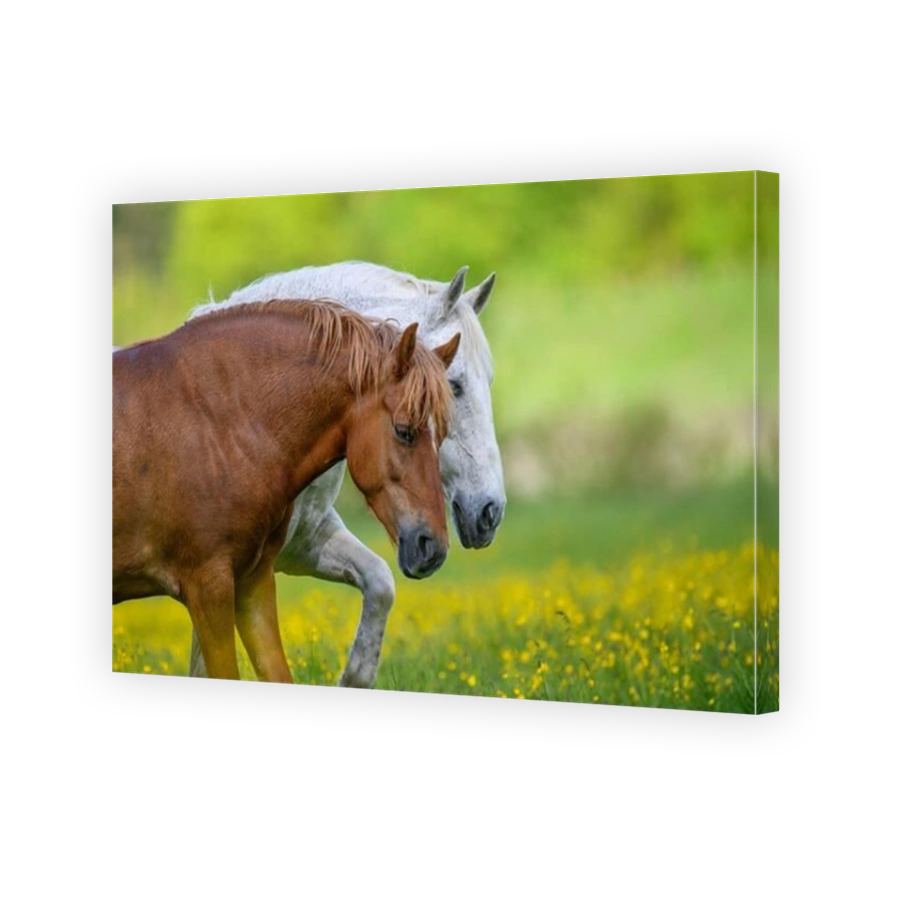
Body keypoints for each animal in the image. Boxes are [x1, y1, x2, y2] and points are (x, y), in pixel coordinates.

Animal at [112, 300, 460, 682]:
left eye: (443, 435)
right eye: (404, 431)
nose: (433, 547)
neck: (215, 423)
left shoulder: (253, 583)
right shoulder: (208, 588)